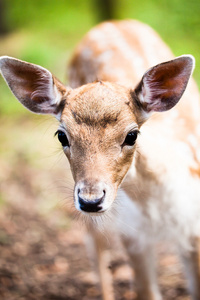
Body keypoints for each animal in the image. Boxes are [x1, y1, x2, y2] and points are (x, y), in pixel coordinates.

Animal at [0, 19, 200, 298]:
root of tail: (111, 22)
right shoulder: (131, 234)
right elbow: (145, 291)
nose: (90, 200)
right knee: (95, 249)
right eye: (61, 135)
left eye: (132, 135)